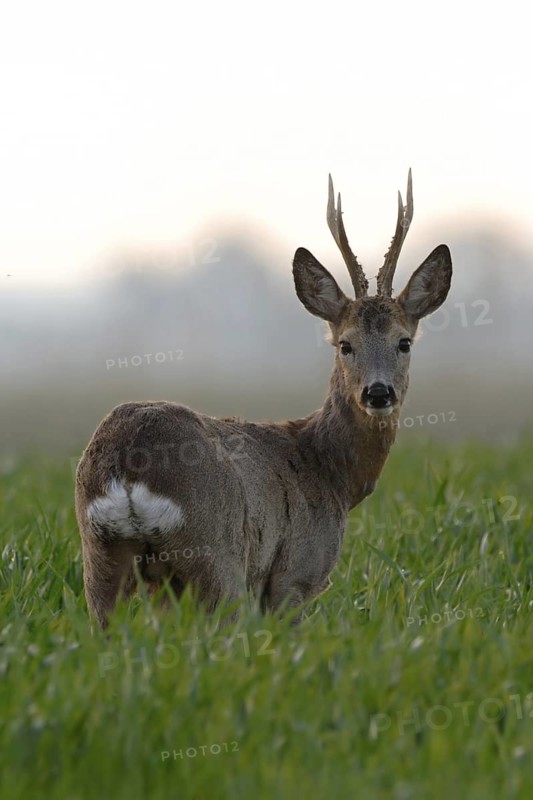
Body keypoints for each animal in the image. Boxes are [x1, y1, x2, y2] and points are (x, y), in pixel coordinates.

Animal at [75, 170, 452, 628]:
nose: (378, 392)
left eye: (404, 342)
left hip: (101, 556)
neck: (331, 473)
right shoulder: (297, 570)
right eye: (345, 344)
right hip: (217, 556)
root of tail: (129, 467)